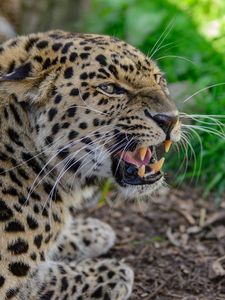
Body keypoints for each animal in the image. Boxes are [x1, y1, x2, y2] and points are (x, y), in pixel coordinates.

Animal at [0, 29, 181, 298]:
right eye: (109, 89)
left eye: (159, 79)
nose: (170, 119)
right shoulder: (9, 282)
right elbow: (53, 278)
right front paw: (113, 272)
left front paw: (90, 232)